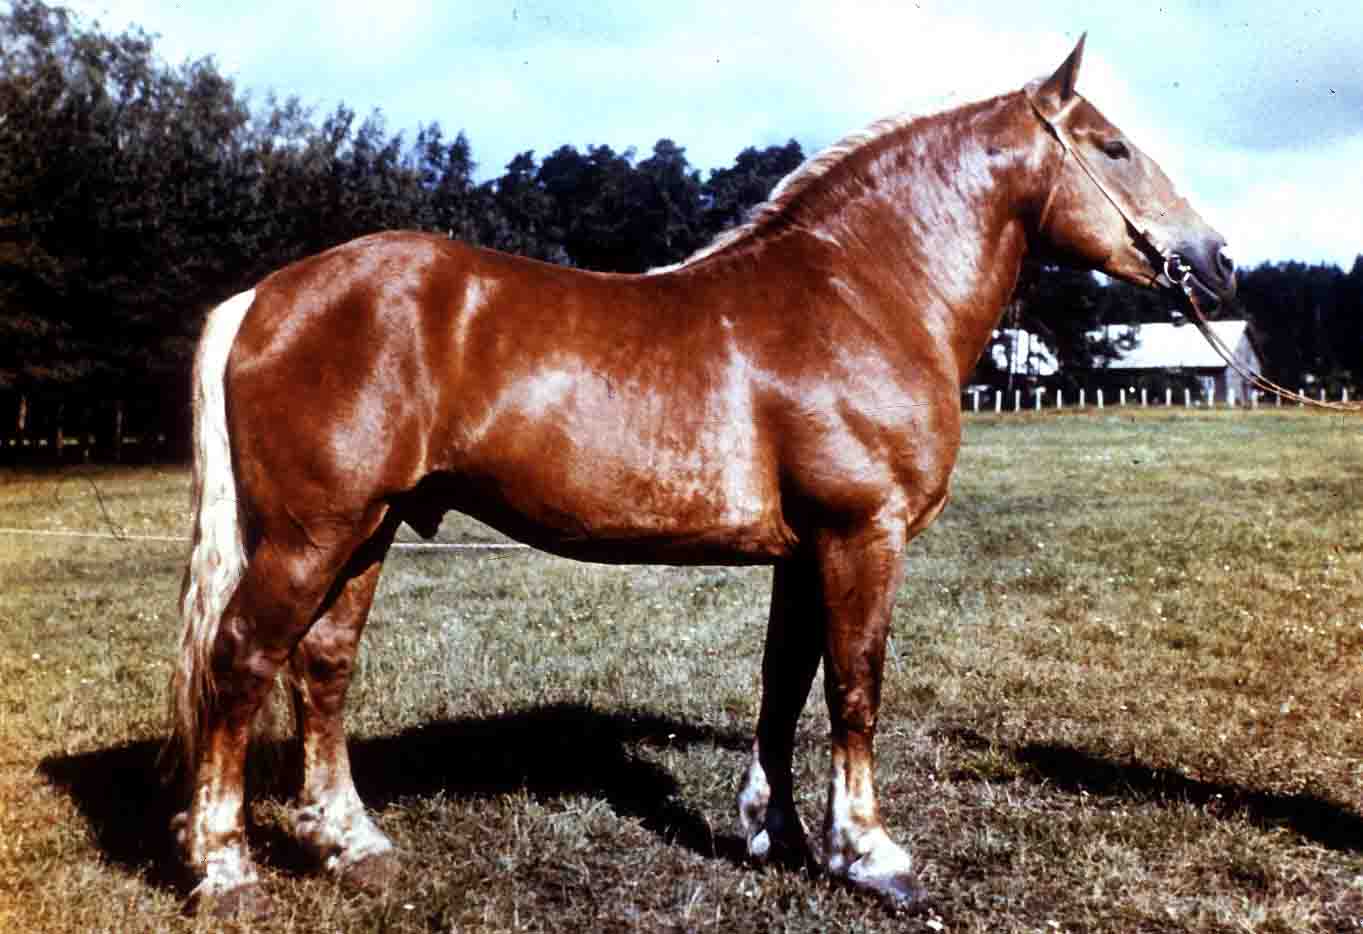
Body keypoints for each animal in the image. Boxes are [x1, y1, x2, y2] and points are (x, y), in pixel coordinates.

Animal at [169, 35, 1235, 915]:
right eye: (1109, 147)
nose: (1215, 259)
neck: (862, 296)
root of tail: (265, 295)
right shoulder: (862, 535)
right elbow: (855, 688)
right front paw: (870, 856)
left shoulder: (804, 551)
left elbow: (784, 684)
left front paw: (778, 833)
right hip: (312, 534)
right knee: (242, 660)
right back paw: (225, 869)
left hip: (369, 529)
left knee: (323, 666)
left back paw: (351, 845)